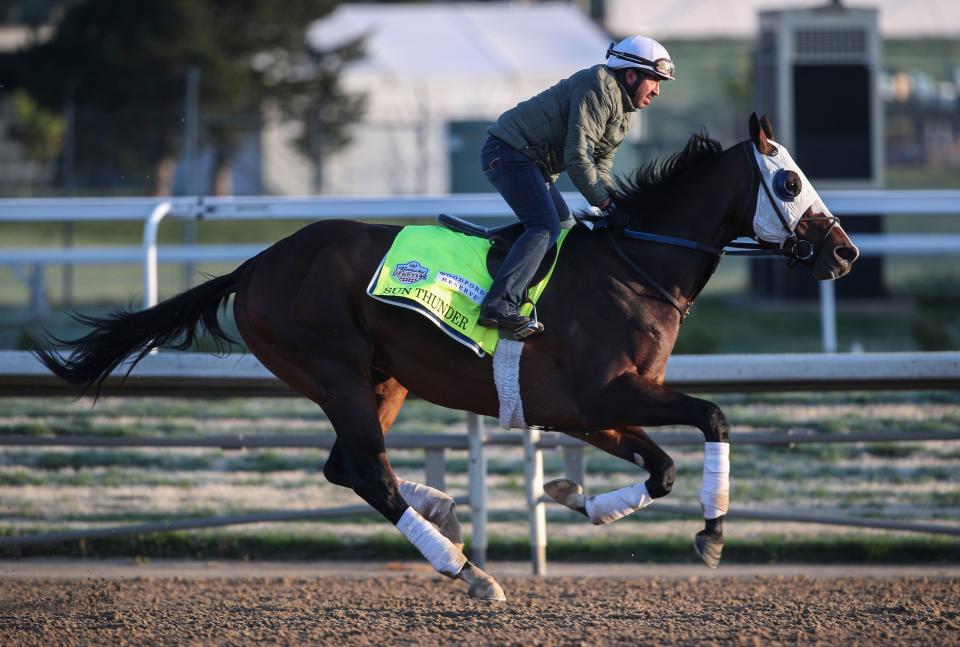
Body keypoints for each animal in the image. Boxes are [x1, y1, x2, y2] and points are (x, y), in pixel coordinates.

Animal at [35, 115, 864, 604]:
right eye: (789, 179)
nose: (846, 252)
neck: (635, 265)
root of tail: (257, 264)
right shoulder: (608, 393)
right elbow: (715, 416)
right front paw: (713, 532)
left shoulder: (590, 407)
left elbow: (657, 469)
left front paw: (570, 493)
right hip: (335, 373)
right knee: (367, 471)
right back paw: (464, 568)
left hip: (383, 379)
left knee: (348, 467)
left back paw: (442, 513)